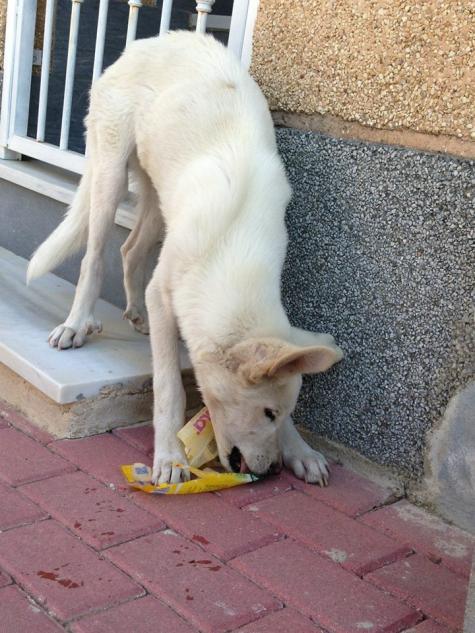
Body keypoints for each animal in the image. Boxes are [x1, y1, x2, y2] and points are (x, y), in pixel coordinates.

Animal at [27, 30, 344, 484]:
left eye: (281, 414)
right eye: (266, 412)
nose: (267, 473)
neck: (233, 244)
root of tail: (151, 40)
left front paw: (300, 450)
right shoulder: (164, 292)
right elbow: (168, 386)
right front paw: (170, 457)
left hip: (159, 200)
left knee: (130, 249)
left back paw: (135, 313)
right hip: (110, 173)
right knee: (95, 257)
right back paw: (76, 324)